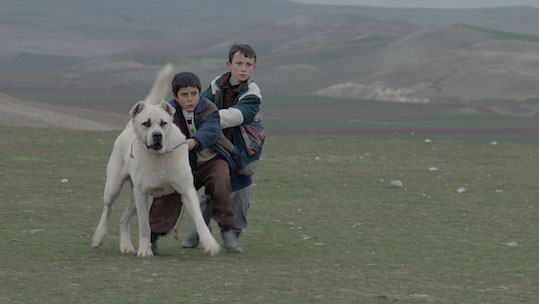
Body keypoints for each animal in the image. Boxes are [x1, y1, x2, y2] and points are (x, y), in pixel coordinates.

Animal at [91, 63, 219, 256]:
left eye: (163, 123)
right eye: (146, 123)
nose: (157, 135)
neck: (160, 158)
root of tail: (128, 128)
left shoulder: (186, 190)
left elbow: (200, 220)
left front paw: (210, 243)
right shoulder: (142, 194)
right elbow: (144, 225)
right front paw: (145, 250)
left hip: (133, 198)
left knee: (123, 217)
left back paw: (126, 245)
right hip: (114, 188)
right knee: (108, 209)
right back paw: (99, 237)